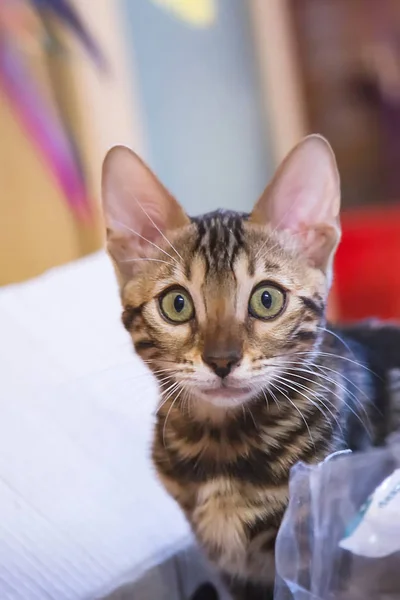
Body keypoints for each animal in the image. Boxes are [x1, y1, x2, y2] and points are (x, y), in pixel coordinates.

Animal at [101, 137, 400, 600]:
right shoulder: (230, 569)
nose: (222, 360)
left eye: (267, 299)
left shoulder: (311, 542)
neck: (220, 443)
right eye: (176, 304)